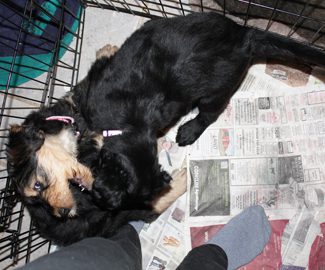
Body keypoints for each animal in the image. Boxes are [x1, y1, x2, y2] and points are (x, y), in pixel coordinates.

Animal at [5, 12, 324, 244]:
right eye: (37, 186)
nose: (62, 211)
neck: (124, 127)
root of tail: (245, 35)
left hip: (218, 88)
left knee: (210, 114)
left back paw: (189, 132)